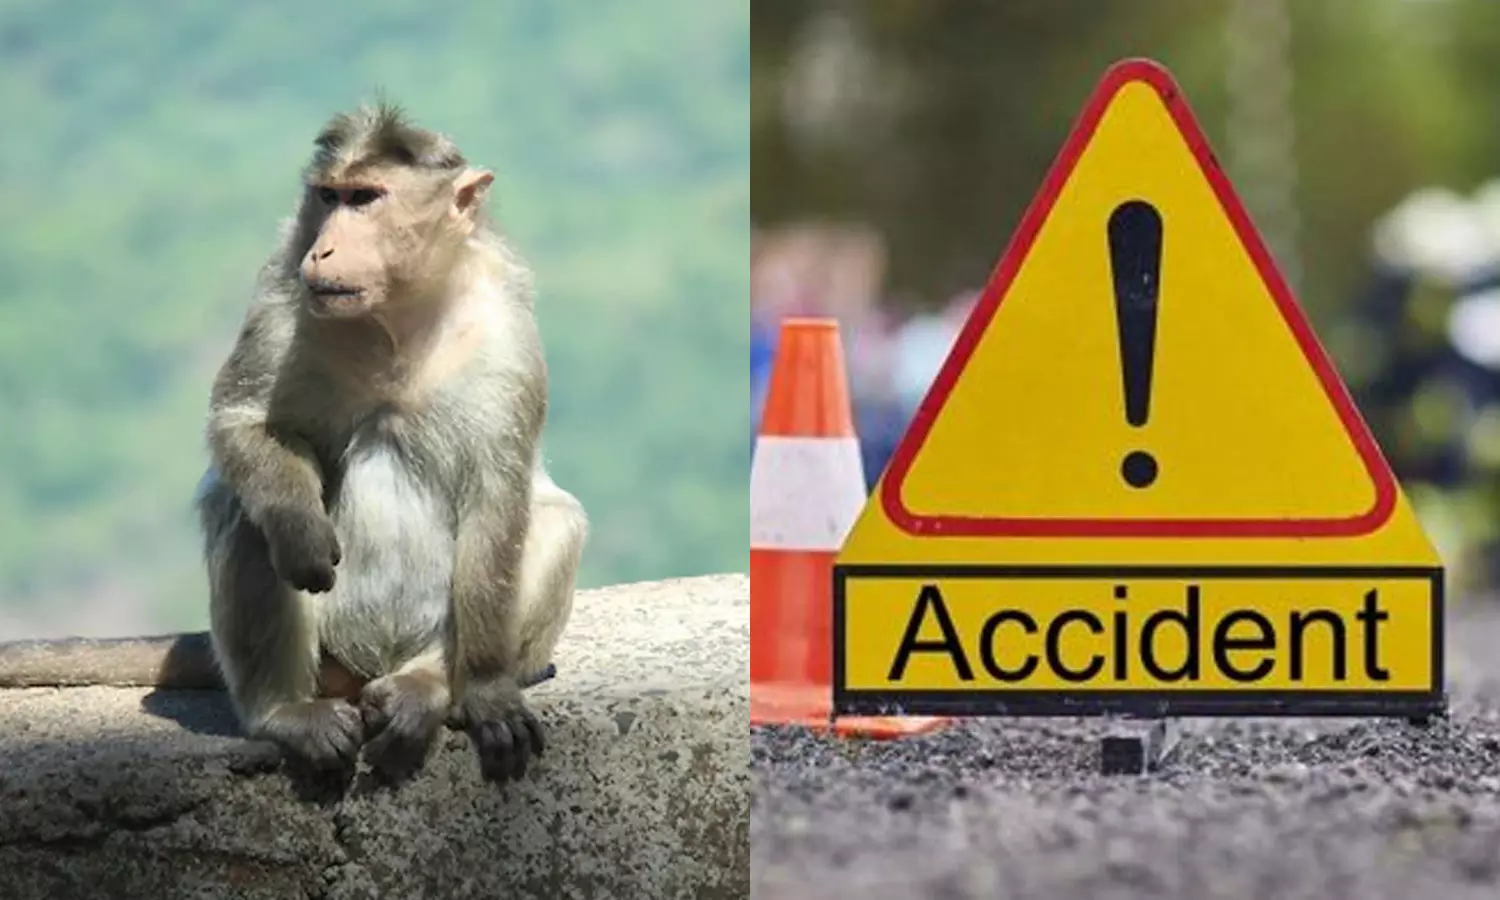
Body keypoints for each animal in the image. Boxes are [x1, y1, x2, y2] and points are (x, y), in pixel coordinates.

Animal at [180, 101, 589, 785]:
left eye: (367, 197)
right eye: (330, 195)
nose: (325, 248)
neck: (397, 317)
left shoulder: (505, 330)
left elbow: (496, 496)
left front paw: (485, 691)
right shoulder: (281, 292)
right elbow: (242, 422)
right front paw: (299, 527)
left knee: (556, 521)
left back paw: (429, 687)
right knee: (243, 510)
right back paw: (286, 713)